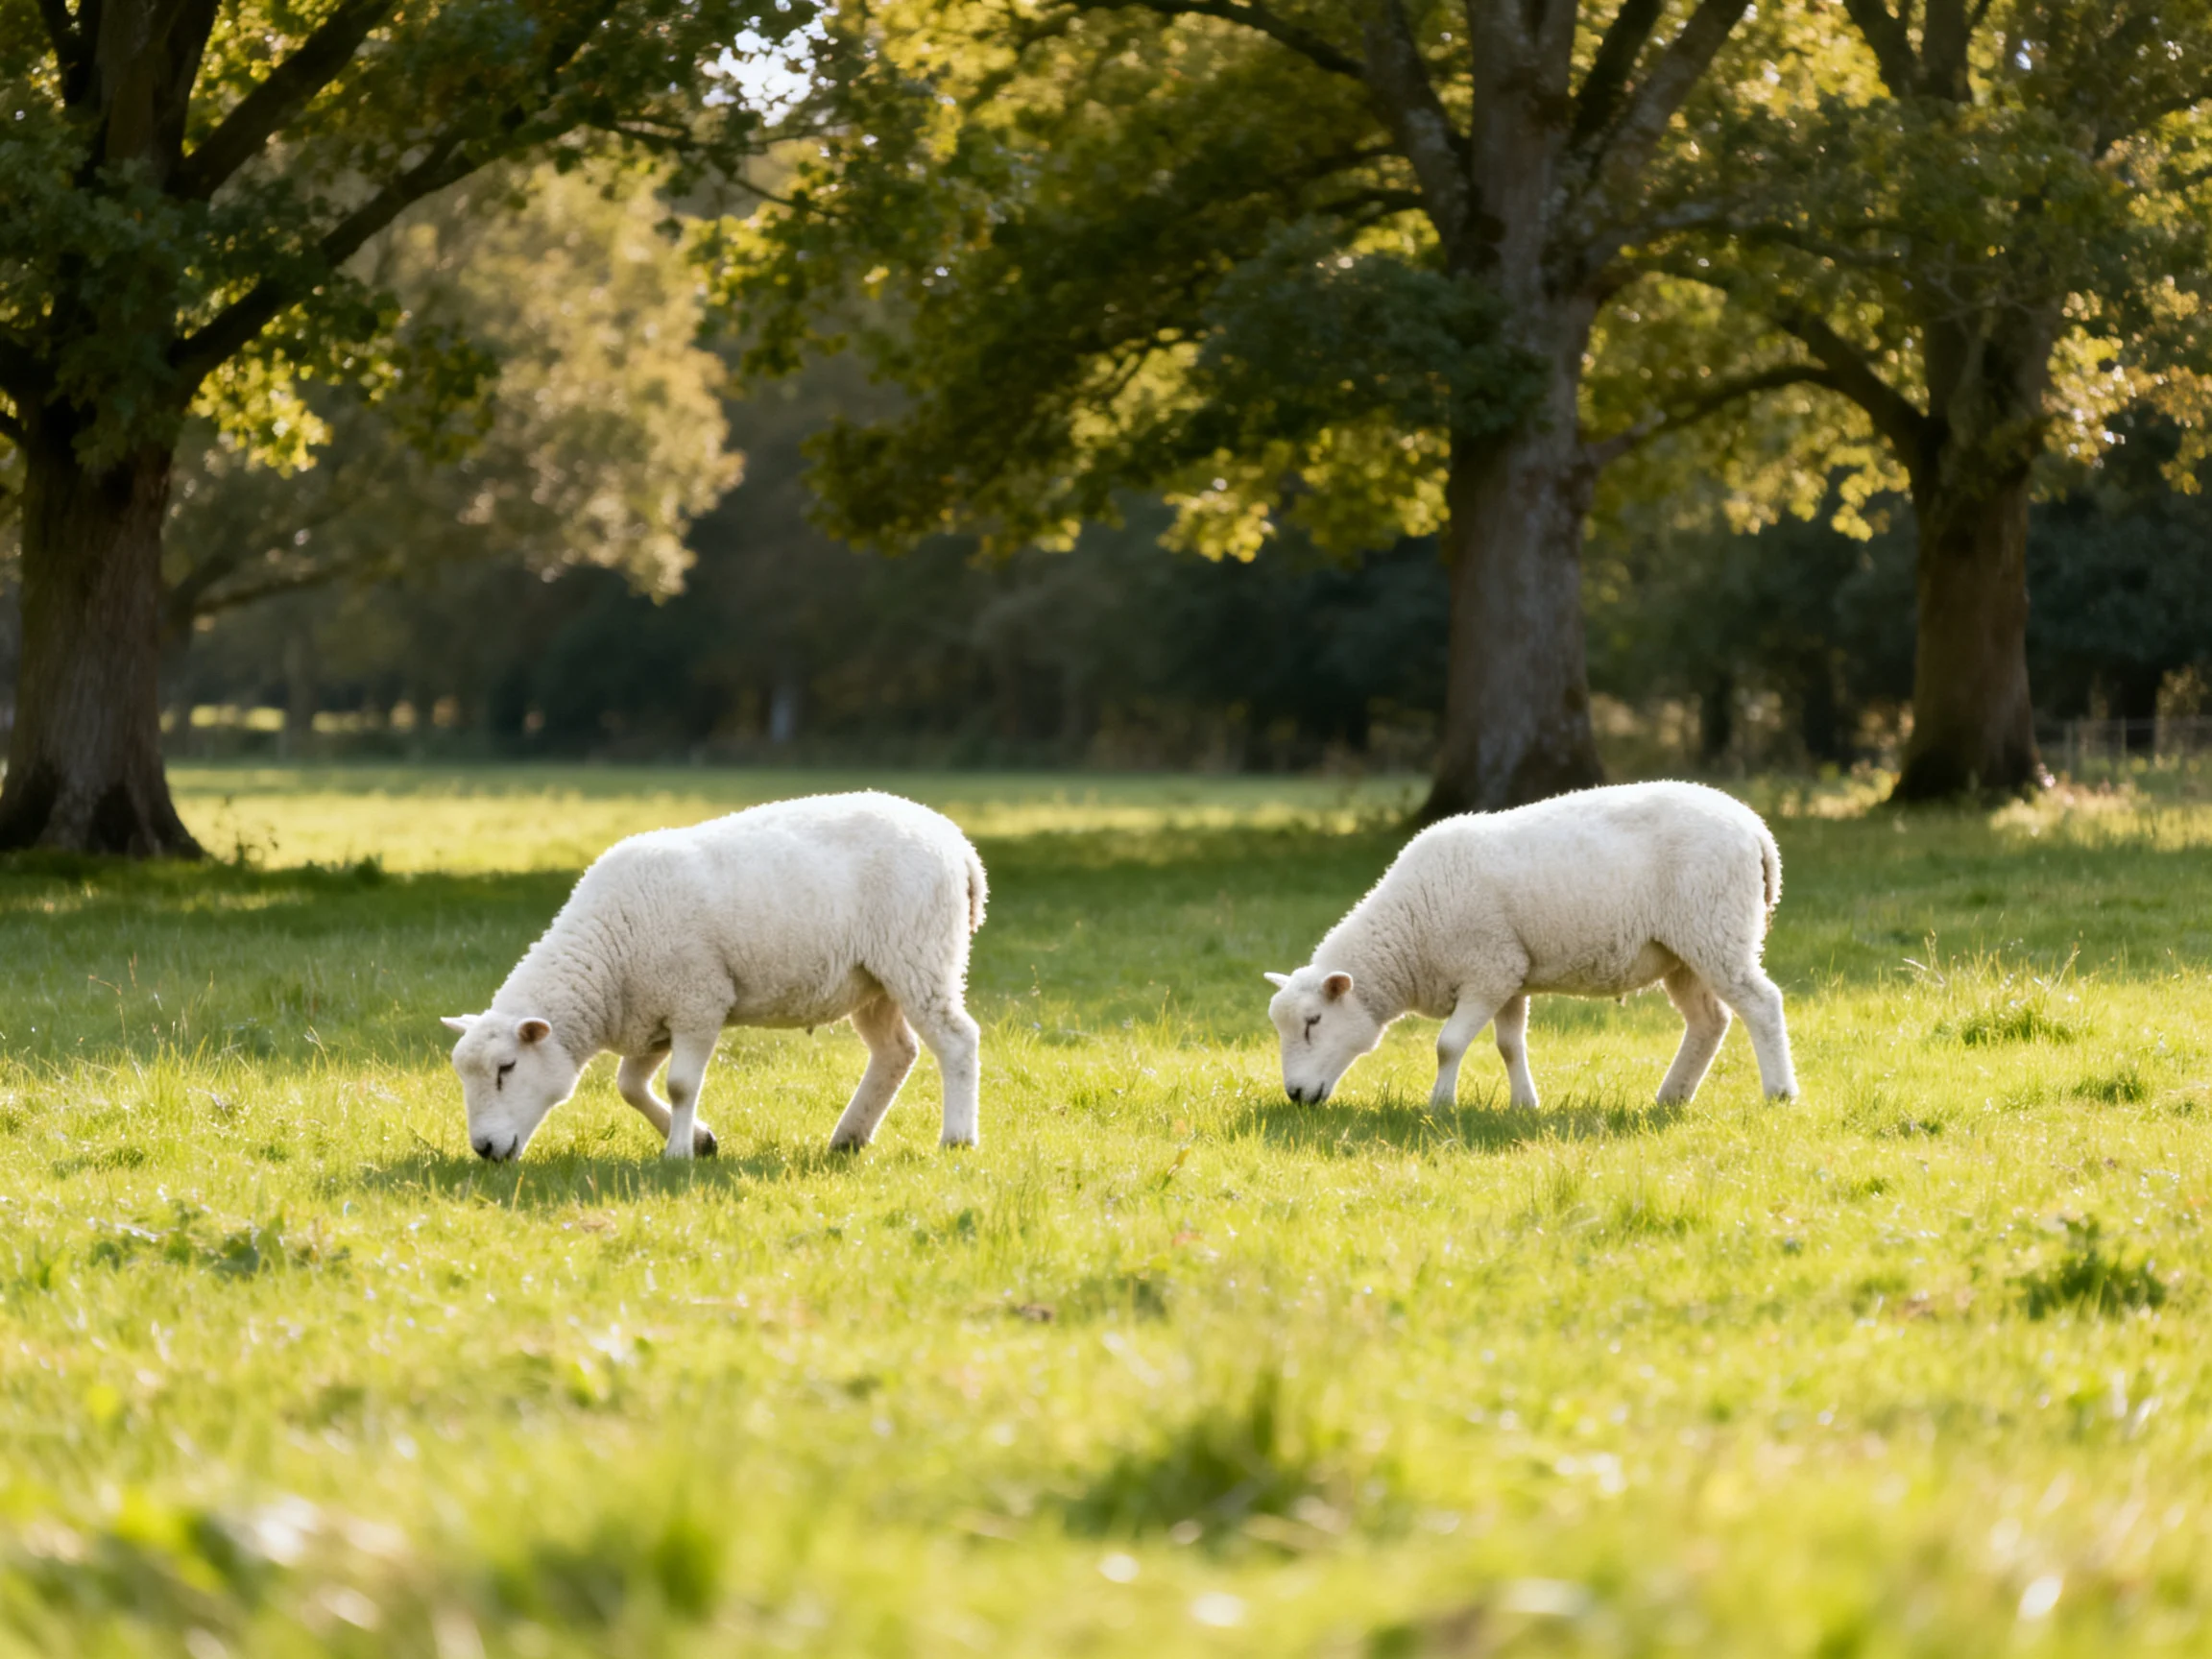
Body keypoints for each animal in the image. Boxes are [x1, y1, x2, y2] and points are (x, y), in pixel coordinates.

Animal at [442, 791, 989, 1161]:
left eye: (506, 1068)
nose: (484, 1149)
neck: (607, 955)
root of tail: (958, 844)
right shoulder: (652, 1018)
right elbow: (629, 1086)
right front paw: (700, 1140)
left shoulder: (698, 1001)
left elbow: (681, 1085)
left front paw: (678, 1154)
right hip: (873, 980)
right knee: (896, 1053)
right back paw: (849, 1137)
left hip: (920, 956)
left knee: (957, 1040)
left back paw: (957, 1138)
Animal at [1262, 781, 1797, 1112]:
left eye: (1313, 1022)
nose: (1294, 1094)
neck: (1411, 929)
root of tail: (1756, 829)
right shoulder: (1509, 972)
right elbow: (1508, 1045)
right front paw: (1524, 1104)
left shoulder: (1487, 970)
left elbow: (1447, 1044)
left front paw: (1440, 1105)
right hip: (1683, 952)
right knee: (1709, 1022)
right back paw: (1672, 1096)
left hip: (1716, 929)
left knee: (1762, 1004)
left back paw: (1780, 1093)